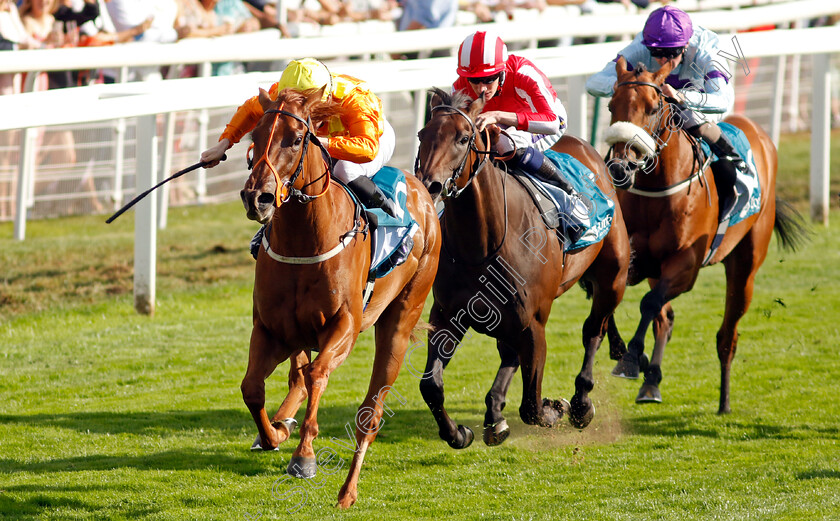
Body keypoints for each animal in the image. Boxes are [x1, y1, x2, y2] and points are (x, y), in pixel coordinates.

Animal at [238, 87, 440, 506]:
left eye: (296, 139)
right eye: (254, 136)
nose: (257, 198)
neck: (304, 241)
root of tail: (423, 193)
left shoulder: (344, 325)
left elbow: (316, 375)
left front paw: (304, 457)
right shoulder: (271, 329)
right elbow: (253, 388)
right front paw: (273, 434)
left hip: (399, 321)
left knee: (370, 414)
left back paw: (348, 490)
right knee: (296, 379)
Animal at [414, 86, 632, 446]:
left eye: (463, 138)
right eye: (422, 134)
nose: (429, 185)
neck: (482, 245)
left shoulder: (534, 324)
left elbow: (531, 405)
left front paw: (555, 407)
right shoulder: (447, 314)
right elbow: (430, 385)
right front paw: (458, 433)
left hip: (612, 277)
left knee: (593, 331)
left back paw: (580, 403)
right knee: (511, 354)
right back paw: (495, 415)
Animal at [600, 57, 804, 412]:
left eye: (653, 108)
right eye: (612, 105)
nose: (620, 168)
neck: (657, 191)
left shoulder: (686, 266)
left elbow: (649, 304)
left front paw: (630, 359)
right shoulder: (639, 263)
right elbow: (616, 299)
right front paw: (626, 353)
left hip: (745, 268)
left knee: (727, 335)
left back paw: (723, 402)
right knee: (666, 319)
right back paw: (651, 381)